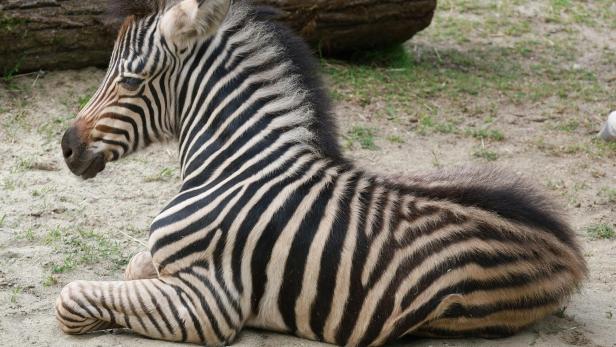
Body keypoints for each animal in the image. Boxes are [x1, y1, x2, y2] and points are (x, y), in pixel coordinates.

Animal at [56, 0, 588, 346]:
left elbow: (72, 299)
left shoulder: (209, 303)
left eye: (129, 80)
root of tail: (567, 250)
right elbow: (134, 266)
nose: (66, 147)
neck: (234, 168)